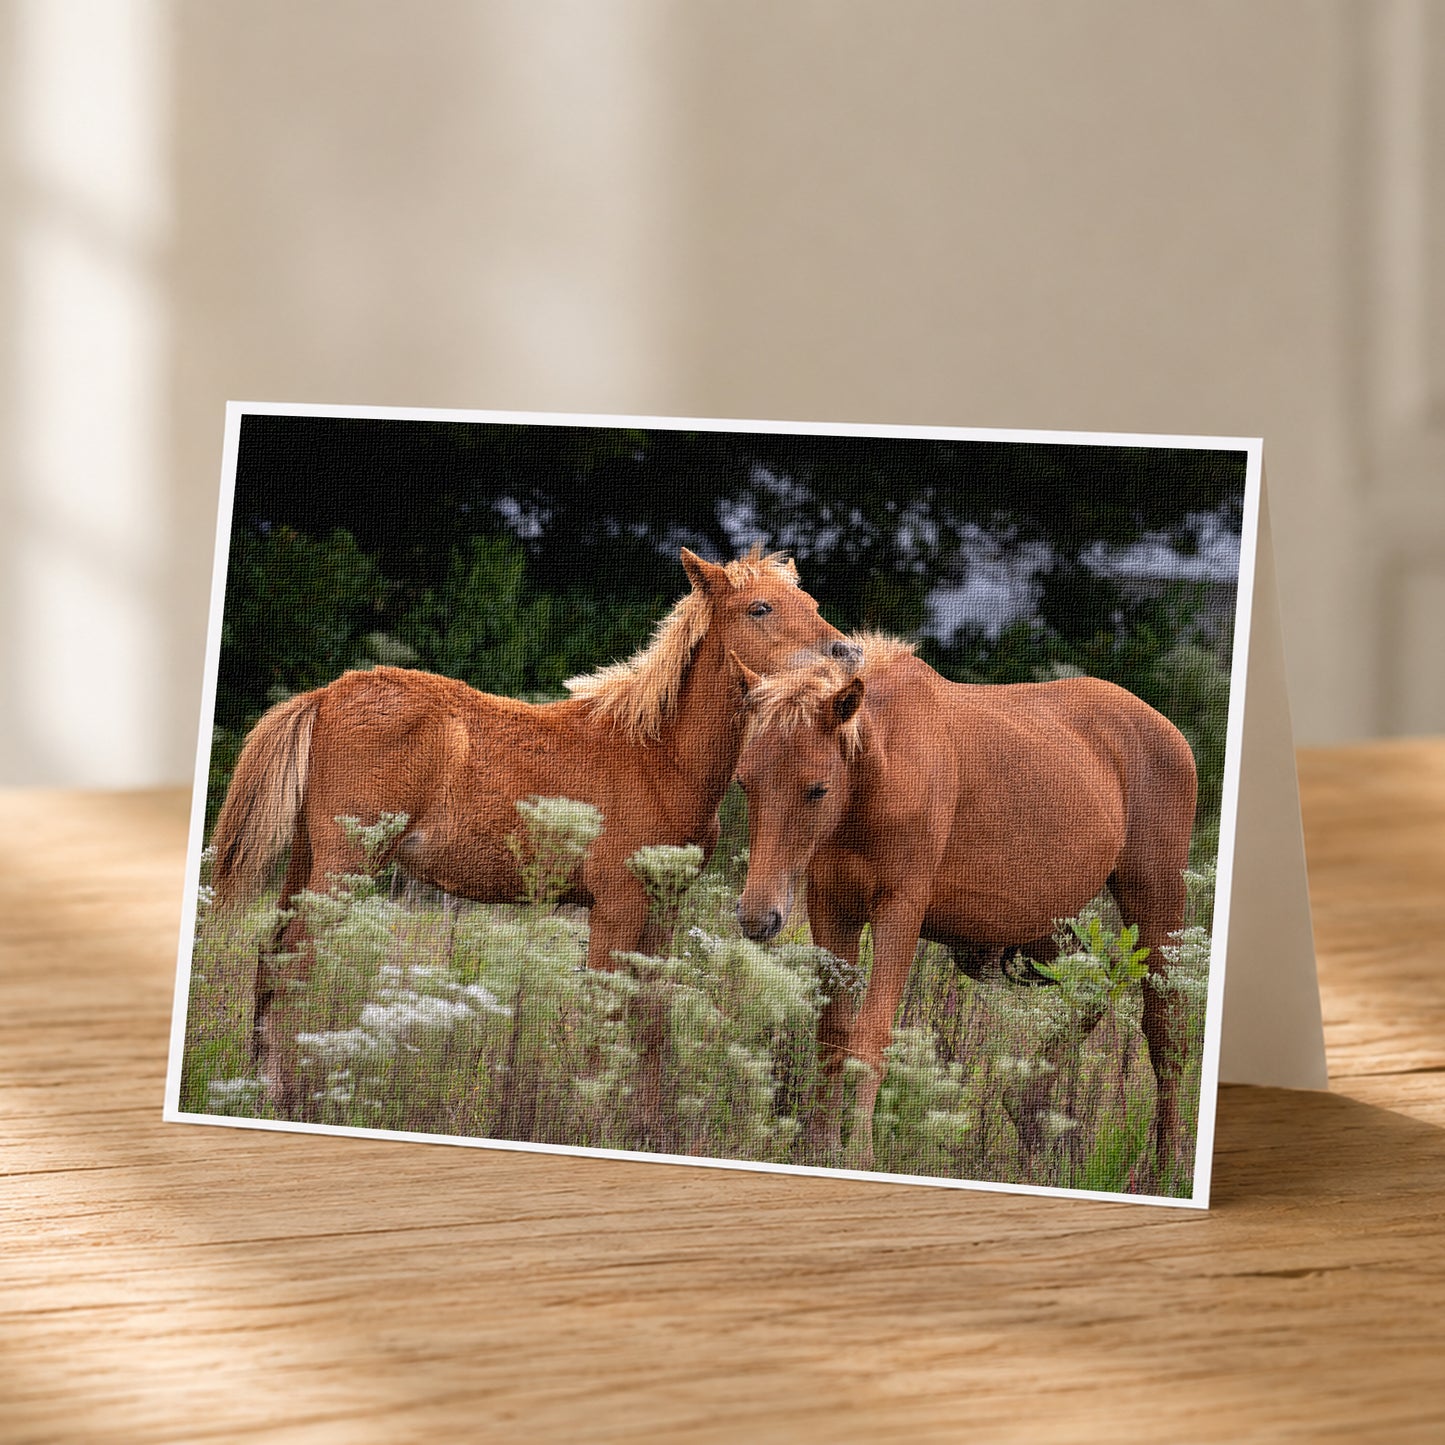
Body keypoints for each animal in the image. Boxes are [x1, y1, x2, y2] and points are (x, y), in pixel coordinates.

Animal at [210, 547, 859, 1115]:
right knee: (294, 965)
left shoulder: (664, 906)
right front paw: (591, 1120)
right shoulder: (616, 906)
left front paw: (646, 1125)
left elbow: (650, 1020)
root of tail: (325, 694)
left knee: (272, 961)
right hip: (344, 865)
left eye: (809, 599)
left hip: (306, 862)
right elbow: (603, 1015)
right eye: (759, 608)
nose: (846, 653)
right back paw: (279, 1097)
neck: (658, 756)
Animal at [733, 634, 1198, 1187]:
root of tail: (1170, 733)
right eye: (744, 782)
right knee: (1094, 986)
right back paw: (1030, 1117)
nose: (757, 917)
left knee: (1163, 1030)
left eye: (817, 788)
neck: (880, 774)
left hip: (1153, 900)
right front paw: (818, 1144)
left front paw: (858, 1153)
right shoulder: (831, 907)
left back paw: (1167, 1166)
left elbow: (870, 1033)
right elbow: (833, 1030)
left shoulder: (900, 910)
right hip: (1049, 928)